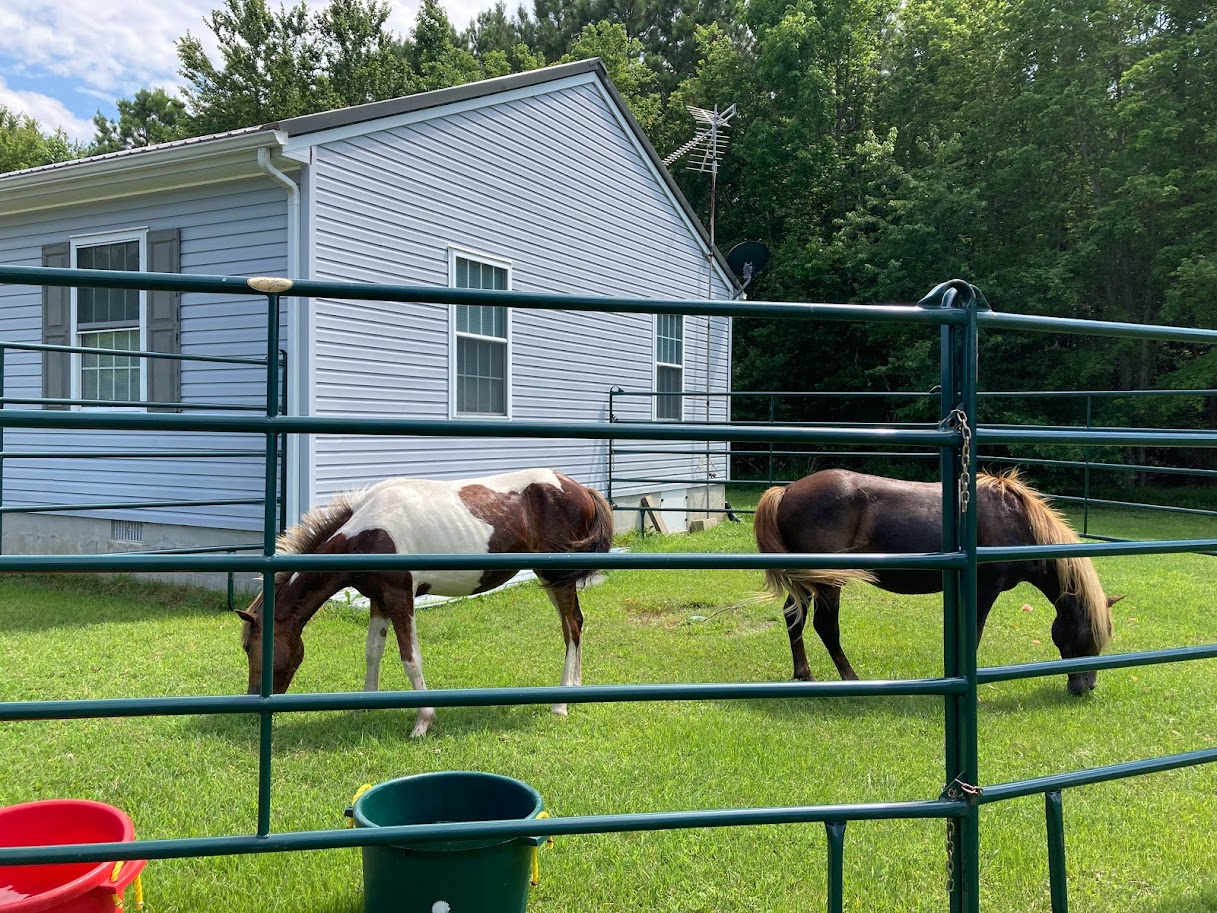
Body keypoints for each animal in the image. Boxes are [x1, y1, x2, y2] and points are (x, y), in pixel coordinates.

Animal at [234, 472, 618, 735]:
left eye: (251, 648)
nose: (252, 701)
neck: (367, 532)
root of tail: (581, 489)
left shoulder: (399, 595)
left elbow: (410, 656)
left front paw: (423, 721)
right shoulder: (378, 599)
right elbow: (373, 651)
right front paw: (362, 708)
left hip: (557, 576)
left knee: (571, 626)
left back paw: (561, 704)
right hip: (553, 578)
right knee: (574, 625)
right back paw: (576, 688)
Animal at [749, 467, 1119, 696]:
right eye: (1092, 634)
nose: (1086, 687)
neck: (1016, 520)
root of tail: (786, 490)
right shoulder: (985, 588)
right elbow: (974, 633)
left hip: (807, 580)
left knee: (793, 616)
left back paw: (804, 673)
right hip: (828, 581)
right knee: (826, 626)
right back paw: (851, 679)